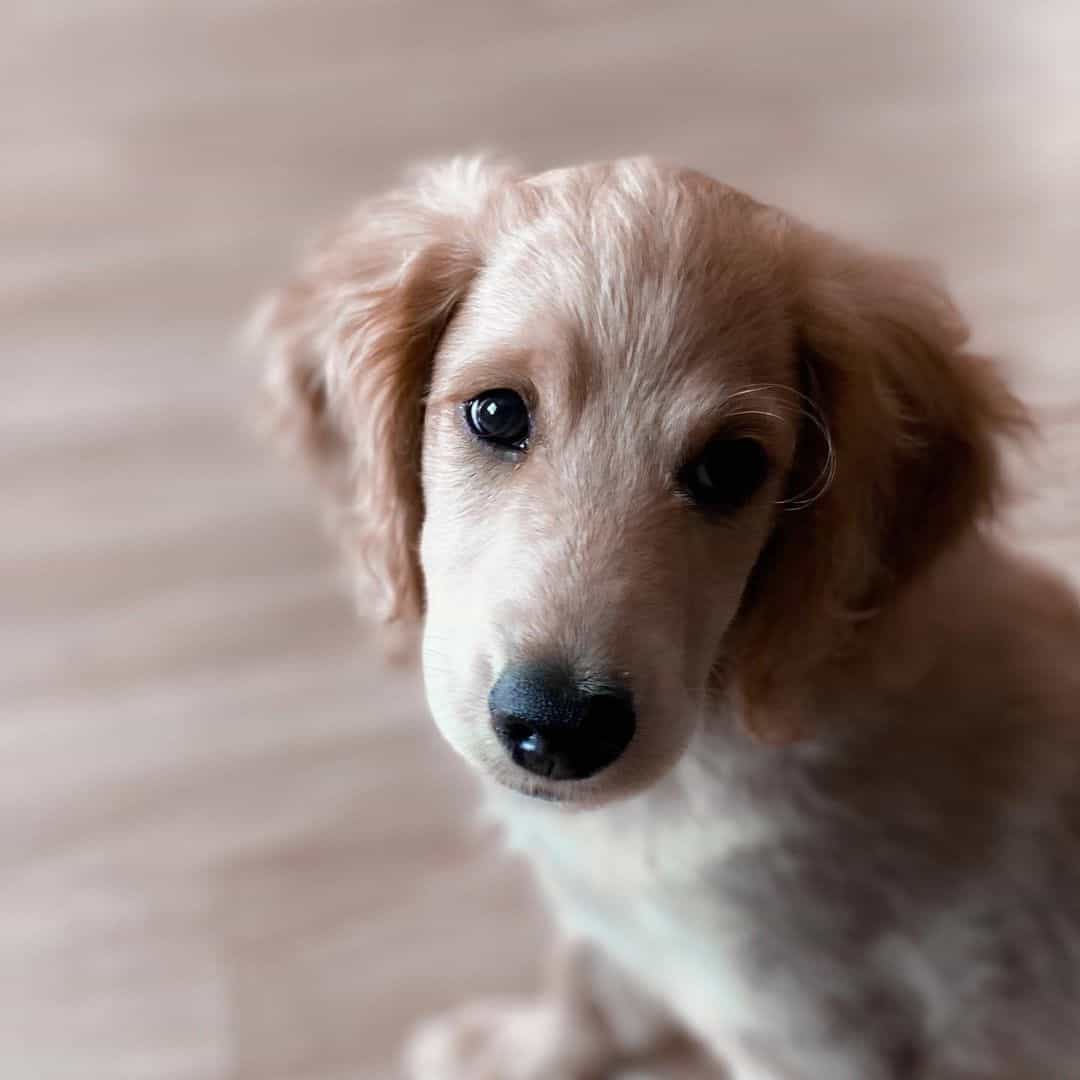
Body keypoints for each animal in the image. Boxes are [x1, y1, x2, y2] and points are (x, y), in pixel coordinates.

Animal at [252, 159, 1080, 1080]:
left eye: (730, 467)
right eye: (497, 412)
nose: (560, 727)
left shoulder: (812, 1035)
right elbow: (586, 973)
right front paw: (520, 1047)